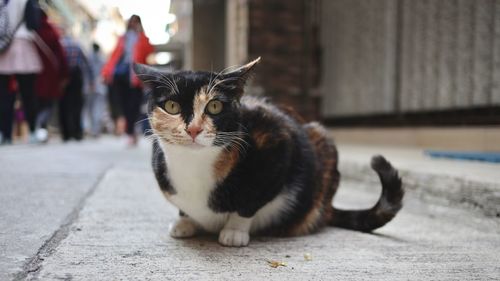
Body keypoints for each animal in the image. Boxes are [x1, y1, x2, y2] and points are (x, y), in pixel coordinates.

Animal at [132, 58, 402, 246]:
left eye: (215, 106)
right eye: (172, 106)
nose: (194, 129)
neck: (193, 165)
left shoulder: (278, 143)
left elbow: (252, 198)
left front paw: (234, 232)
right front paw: (184, 221)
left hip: (322, 141)